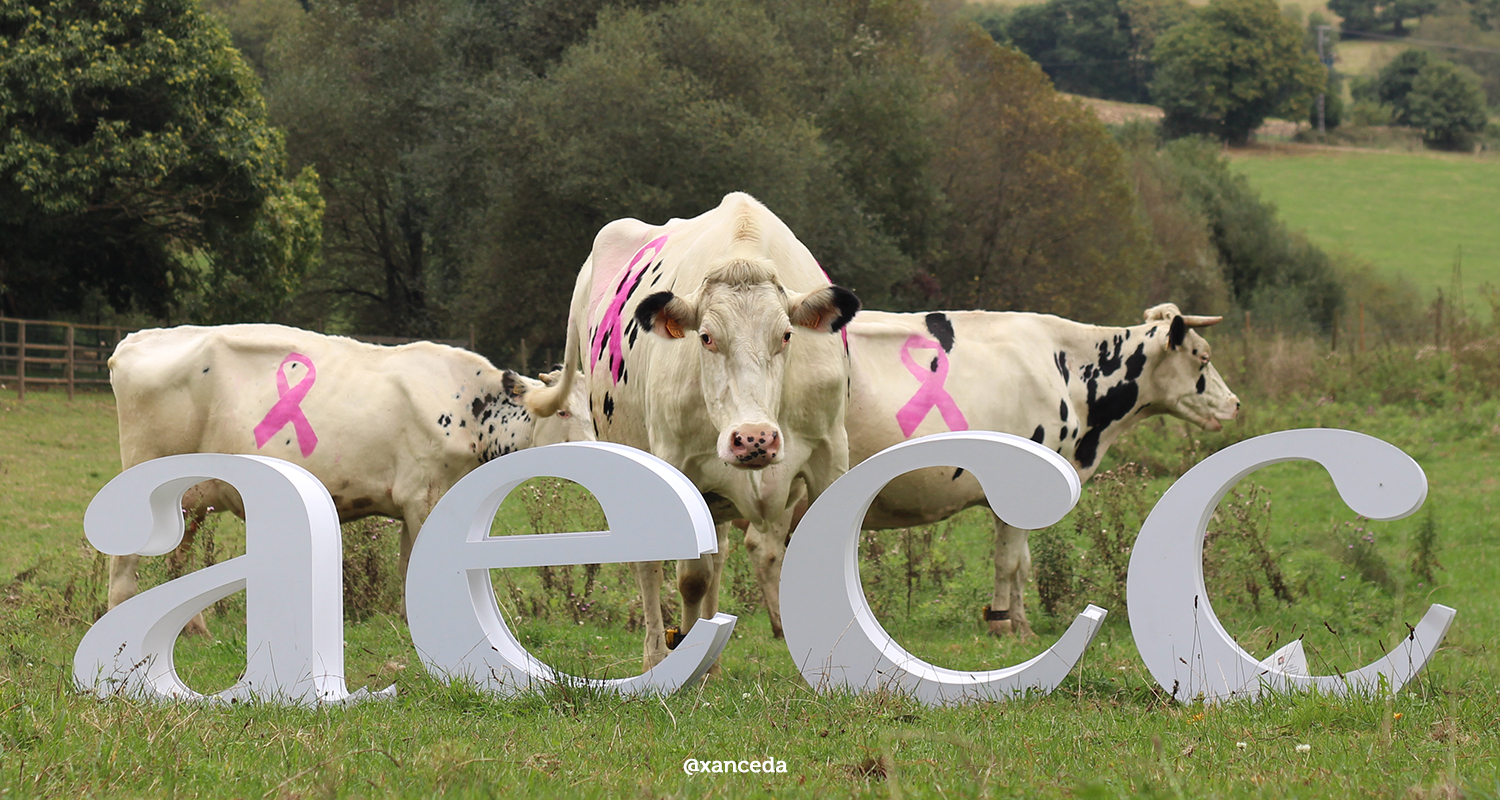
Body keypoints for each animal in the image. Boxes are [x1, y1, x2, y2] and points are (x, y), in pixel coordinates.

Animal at [106, 324, 593, 634]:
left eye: (591, 410)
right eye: (562, 412)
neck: (468, 407)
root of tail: (136, 339)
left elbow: (410, 565)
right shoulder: (422, 496)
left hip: (192, 498)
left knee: (178, 559)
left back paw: (193, 629)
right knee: (127, 562)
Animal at [523, 192, 860, 669]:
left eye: (787, 335)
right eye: (705, 336)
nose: (754, 438)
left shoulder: (830, 456)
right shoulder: (679, 465)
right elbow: (690, 577)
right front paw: (682, 650)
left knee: (716, 559)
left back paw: (710, 664)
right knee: (652, 565)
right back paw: (658, 656)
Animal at [741, 303, 1240, 638]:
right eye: (1201, 355)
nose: (1235, 404)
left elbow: (1022, 563)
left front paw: (1019, 620)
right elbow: (1008, 561)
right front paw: (1004, 624)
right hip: (786, 475)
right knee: (765, 549)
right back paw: (783, 626)